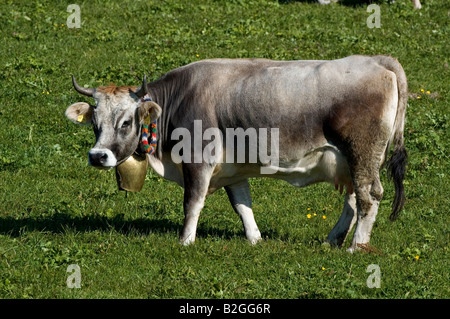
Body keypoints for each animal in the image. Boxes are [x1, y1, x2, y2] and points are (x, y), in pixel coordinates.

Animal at [66, 55, 408, 252]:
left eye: (126, 122)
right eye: (94, 123)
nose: (97, 156)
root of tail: (378, 60)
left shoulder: (198, 159)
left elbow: (193, 203)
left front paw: (185, 242)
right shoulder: (231, 168)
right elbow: (242, 204)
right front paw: (255, 239)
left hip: (362, 153)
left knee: (369, 197)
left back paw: (356, 247)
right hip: (353, 161)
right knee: (353, 199)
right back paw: (332, 240)